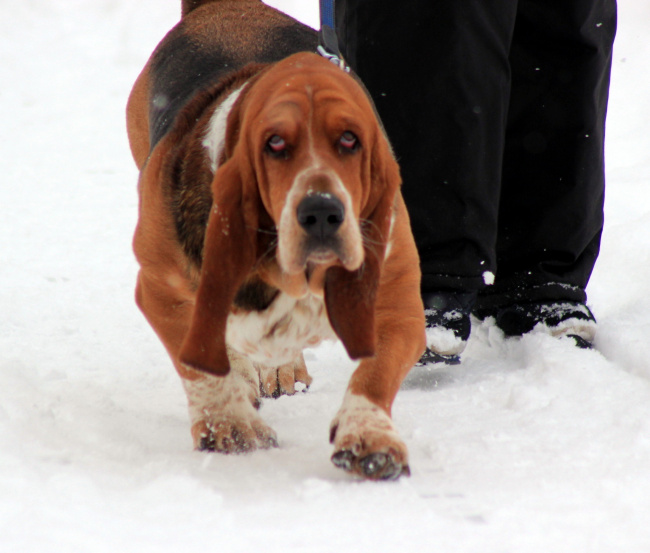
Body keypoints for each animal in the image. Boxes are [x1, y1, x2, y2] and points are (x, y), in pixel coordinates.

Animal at [126, 0, 426, 478]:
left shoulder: (396, 308)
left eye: (350, 139)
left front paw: (369, 437)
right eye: (275, 144)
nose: (321, 211)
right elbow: (203, 368)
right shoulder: (159, 290)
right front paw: (230, 426)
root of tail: (217, 8)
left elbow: (374, 377)